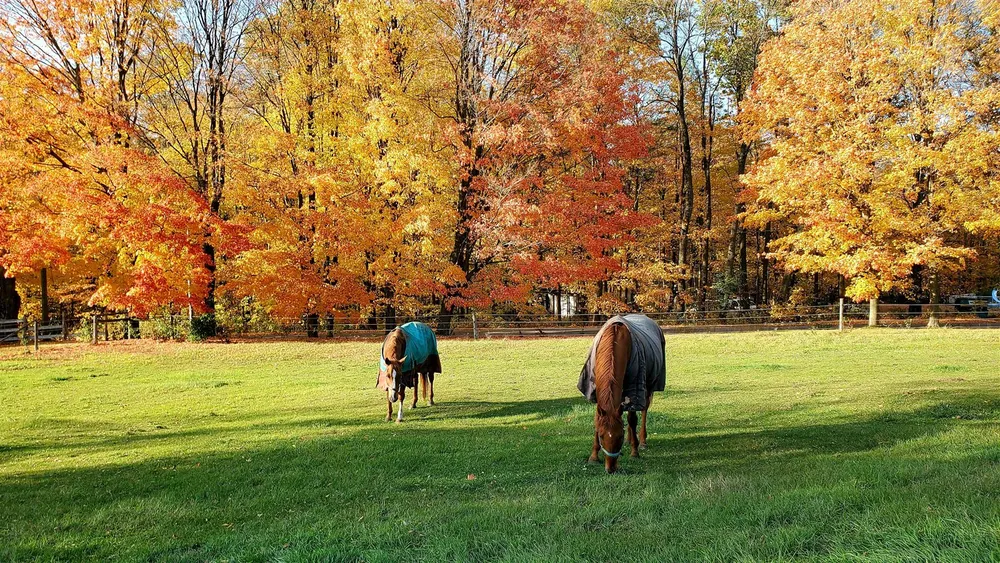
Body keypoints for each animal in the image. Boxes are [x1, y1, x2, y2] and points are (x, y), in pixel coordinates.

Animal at [578, 314, 666, 473]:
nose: (611, 468)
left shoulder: (634, 389)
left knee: (643, 411)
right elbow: (597, 420)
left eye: (620, 435)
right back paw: (630, 439)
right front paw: (593, 456)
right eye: (601, 436)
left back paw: (641, 441)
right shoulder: (596, 393)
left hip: (647, 387)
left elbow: (632, 419)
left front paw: (634, 452)